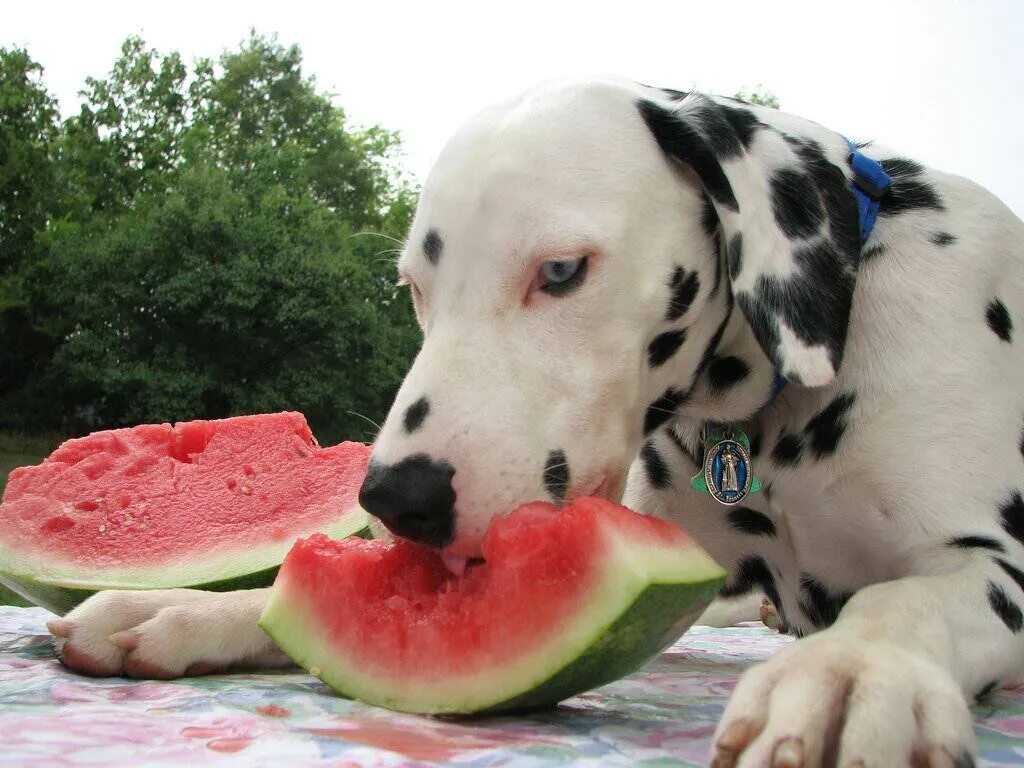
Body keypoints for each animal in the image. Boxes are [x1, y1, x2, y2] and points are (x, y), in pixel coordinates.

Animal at [49, 79, 1024, 768]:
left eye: (559, 271)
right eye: (414, 288)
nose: (394, 497)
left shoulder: (992, 564)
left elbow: (901, 601)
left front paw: (852, 675)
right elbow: (288, 593)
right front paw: (183, 609)